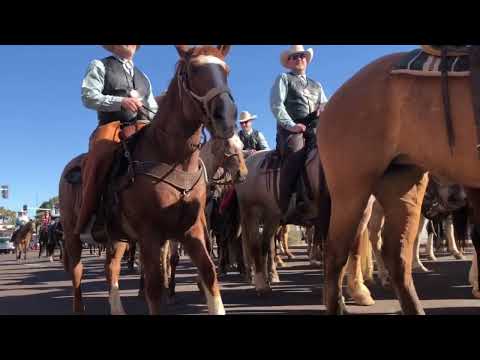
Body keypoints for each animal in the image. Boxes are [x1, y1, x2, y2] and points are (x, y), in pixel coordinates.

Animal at [60, 45, 246, 316]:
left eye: (226, 70)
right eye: (192, 70)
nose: (226, 116)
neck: (172, 158)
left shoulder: (192, 230)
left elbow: (209, 274)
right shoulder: (150, 235)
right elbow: (155, 289)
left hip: (117, 237)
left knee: (110, 268)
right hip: (71, 234)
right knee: (77, 274)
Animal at [234, 148, 376, 306]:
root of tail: (250, 159)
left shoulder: (362, 214)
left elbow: (354, 251)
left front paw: (359, 292)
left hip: (272, 217)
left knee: (265, 246)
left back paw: (268, 278)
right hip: (252, 213)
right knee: (254, 246)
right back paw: (260, 283)